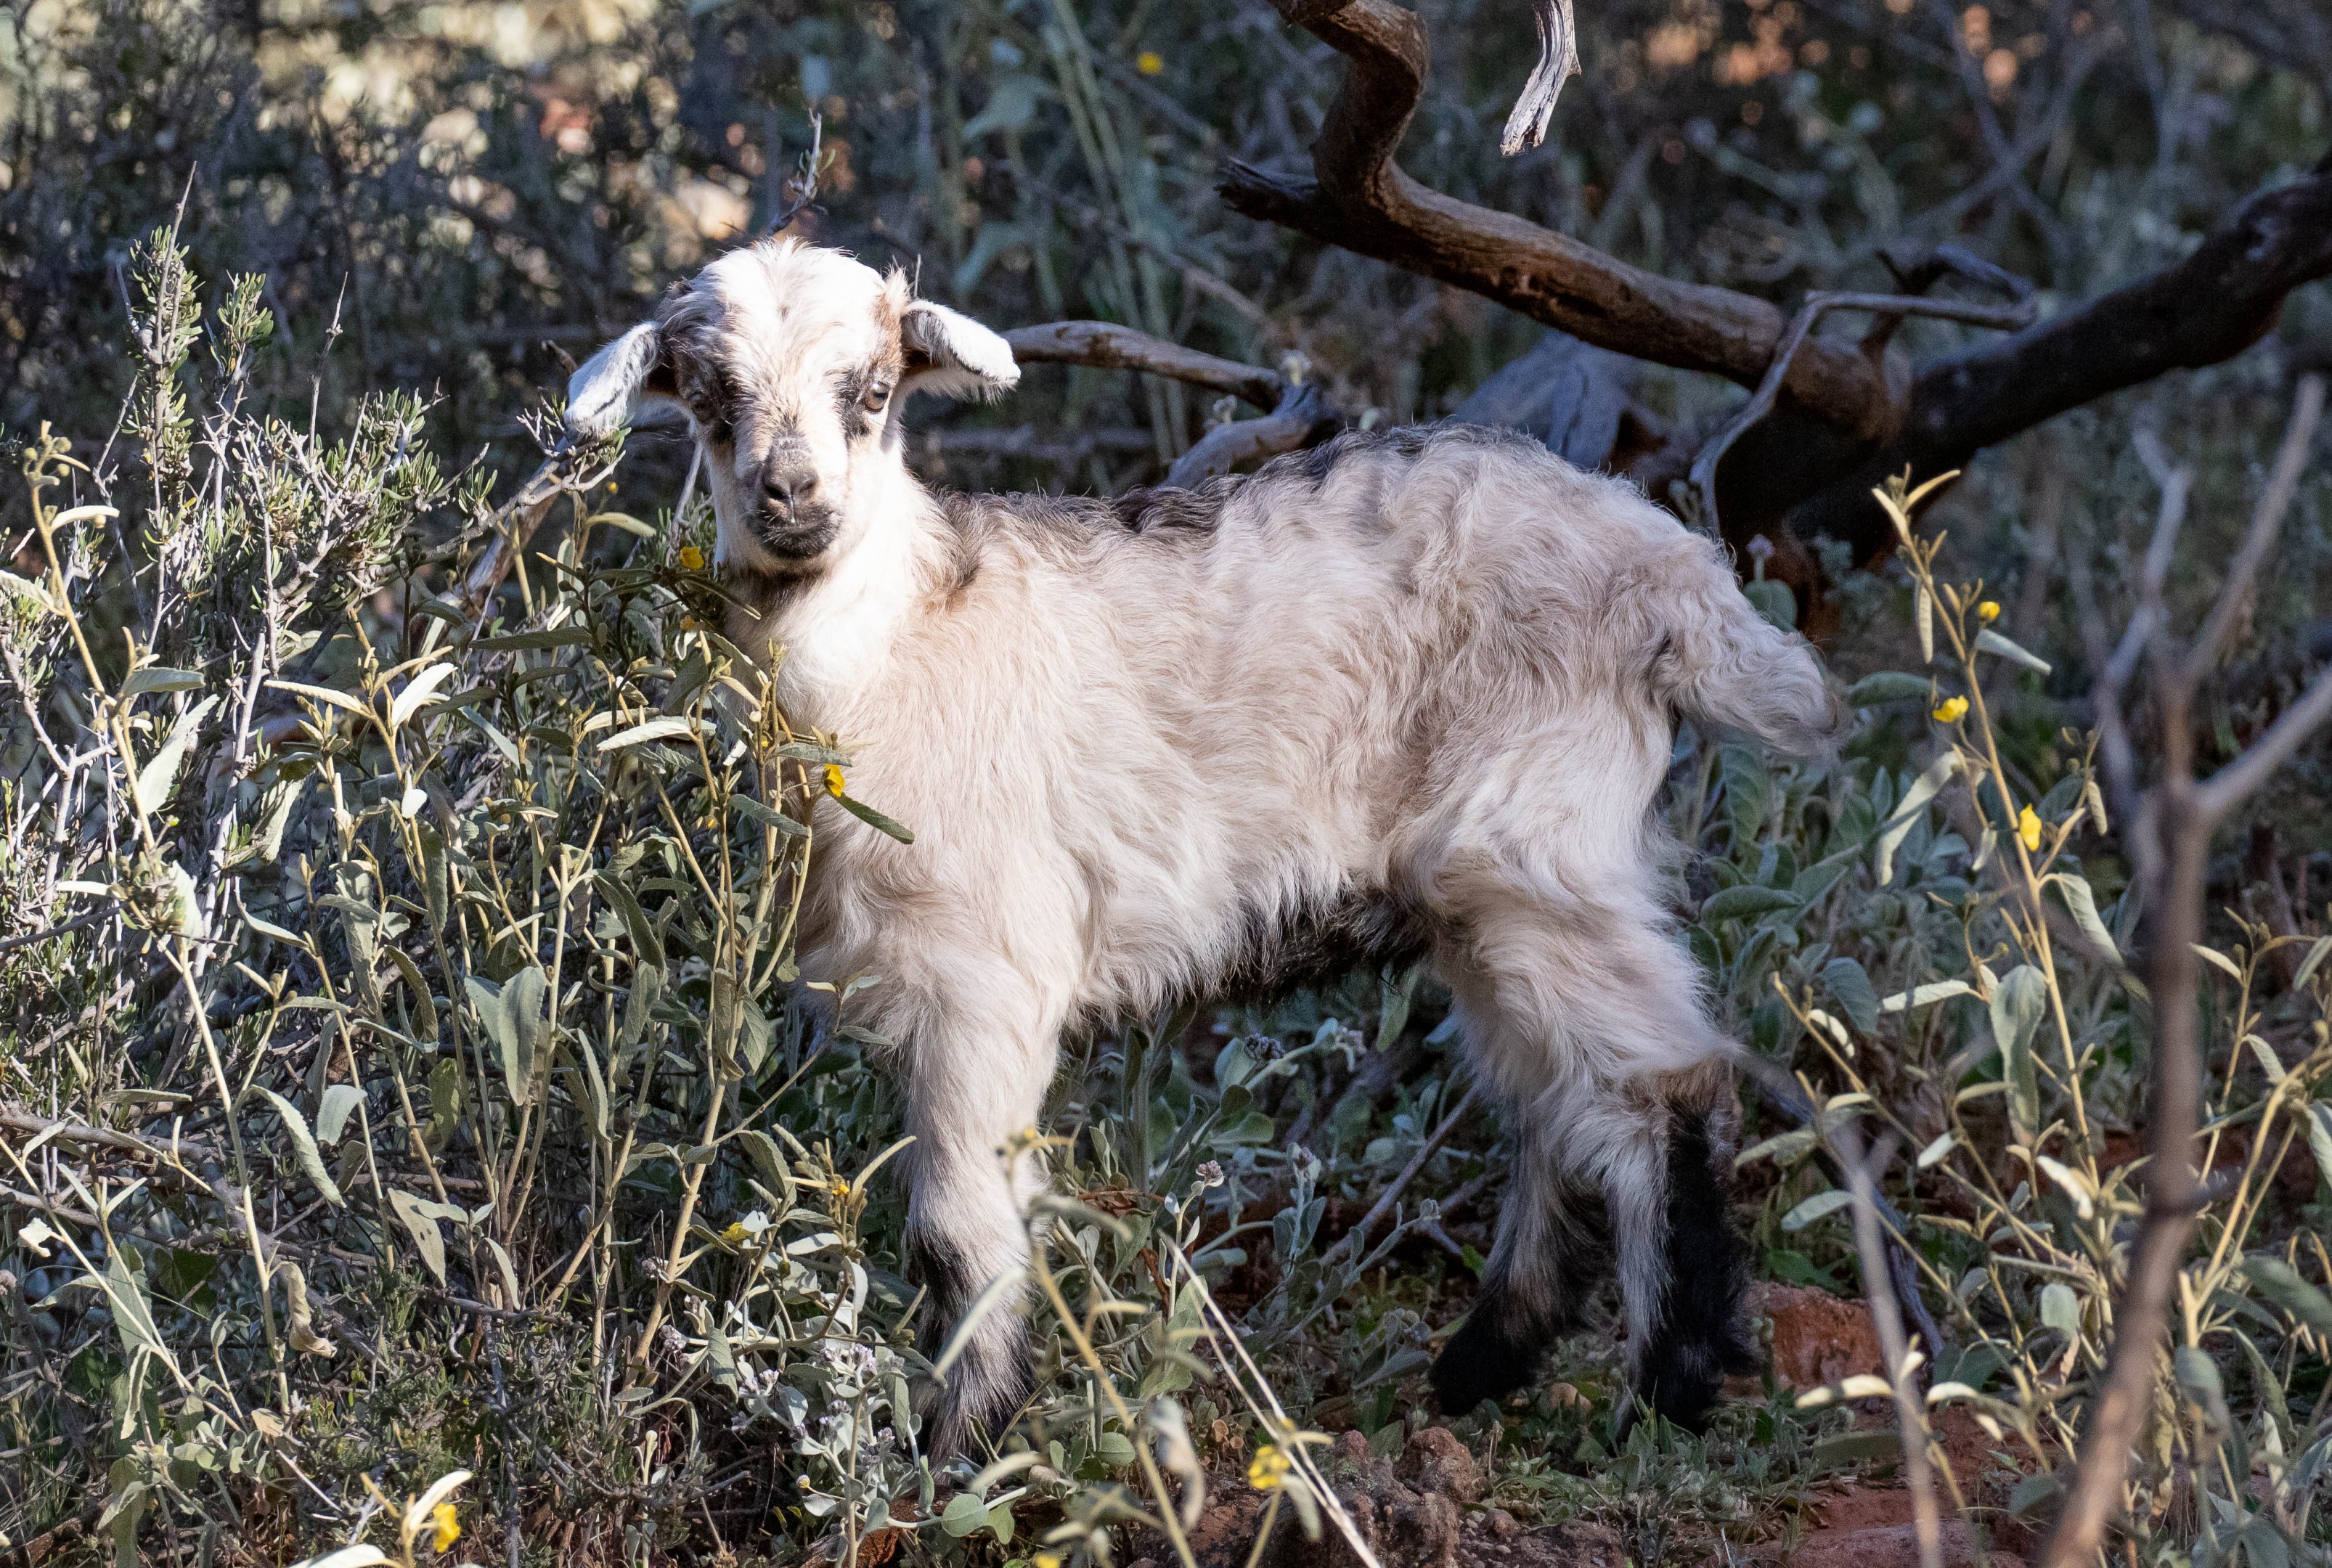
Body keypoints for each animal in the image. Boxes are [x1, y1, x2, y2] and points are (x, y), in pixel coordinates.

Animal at [566, 238, 1842, 1455]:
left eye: (873, 394)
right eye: (710, 399)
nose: (791, 496)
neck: (904, 638)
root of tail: (1673, 576)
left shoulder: (990, 975)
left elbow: (957, 1233)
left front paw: (961, 1446)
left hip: (1535, 843)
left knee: (1658, 1088)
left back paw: (1669, 1390)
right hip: (1495, 892)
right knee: (1554, 1109)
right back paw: (1480, 1369)